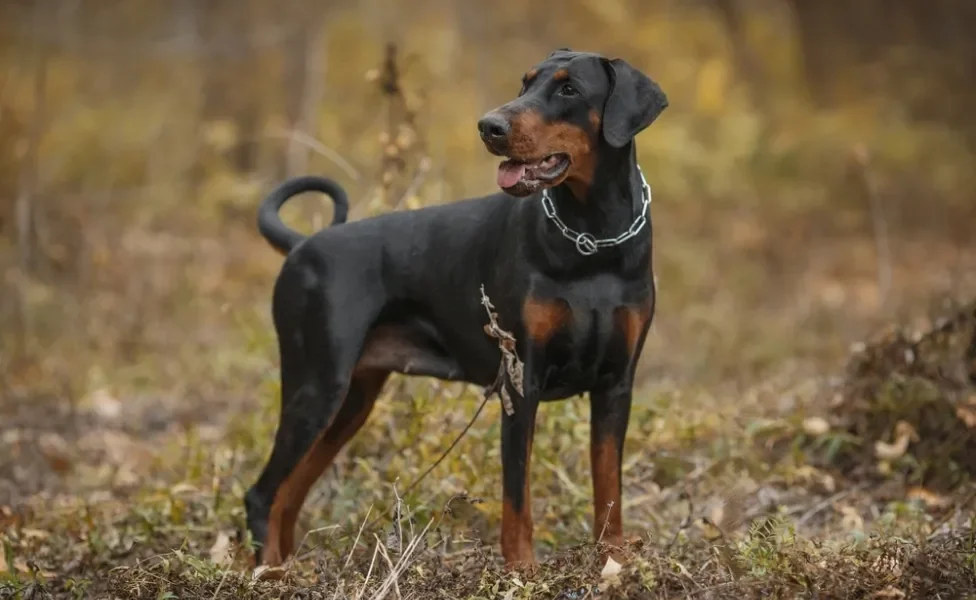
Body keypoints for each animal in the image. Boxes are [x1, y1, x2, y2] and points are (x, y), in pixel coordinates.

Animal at [248, 49, 668, 568]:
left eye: (569, 88)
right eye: (526, 82)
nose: (489, 126)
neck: (592, 241)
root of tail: (301, 245)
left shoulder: (616, 385)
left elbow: (609, 485)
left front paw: (613, 559)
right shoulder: (520, 381)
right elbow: (517, 498)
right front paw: (522, 570)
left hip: (350, 401)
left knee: (288, 494)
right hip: (316, 386)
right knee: (264, 495)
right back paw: (270, 574)